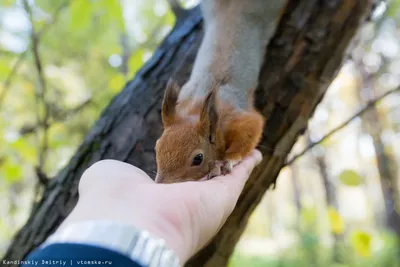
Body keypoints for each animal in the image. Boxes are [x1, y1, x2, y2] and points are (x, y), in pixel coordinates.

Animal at [155, 0, 286, 184]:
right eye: (157, 147)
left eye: (198, 159)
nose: (160, 184)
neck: (195, 107)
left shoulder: (238, 117)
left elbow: (251, 130)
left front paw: (226, 160)